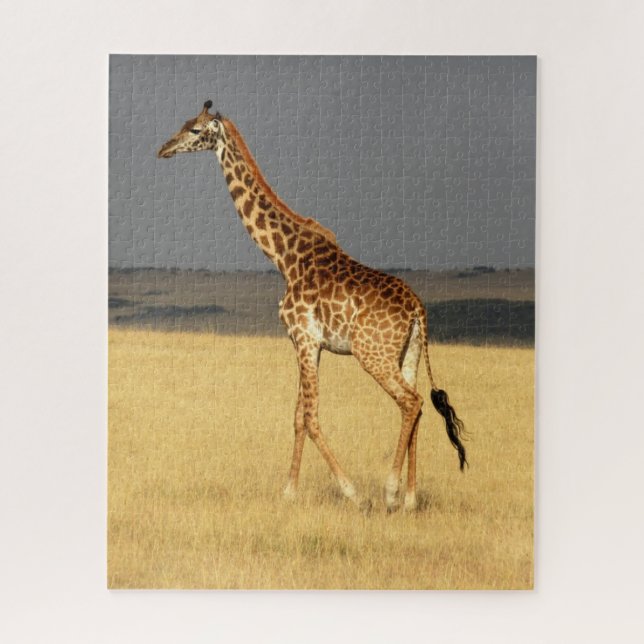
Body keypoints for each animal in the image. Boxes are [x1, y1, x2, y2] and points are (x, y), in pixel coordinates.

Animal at [158, 101, 467, 513]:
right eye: (183, 123)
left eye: (195, 130)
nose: (163, 149)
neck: (283, 256)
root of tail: (418, 310)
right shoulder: (306, 343)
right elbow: (298, 417)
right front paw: (288, 491)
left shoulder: (303, 337)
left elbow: (311, 415)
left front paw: (352, 493)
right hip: (410, 354)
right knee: (415, 408)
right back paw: (410, 499)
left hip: (373, 354)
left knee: (410, 401)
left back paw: (388, 493)